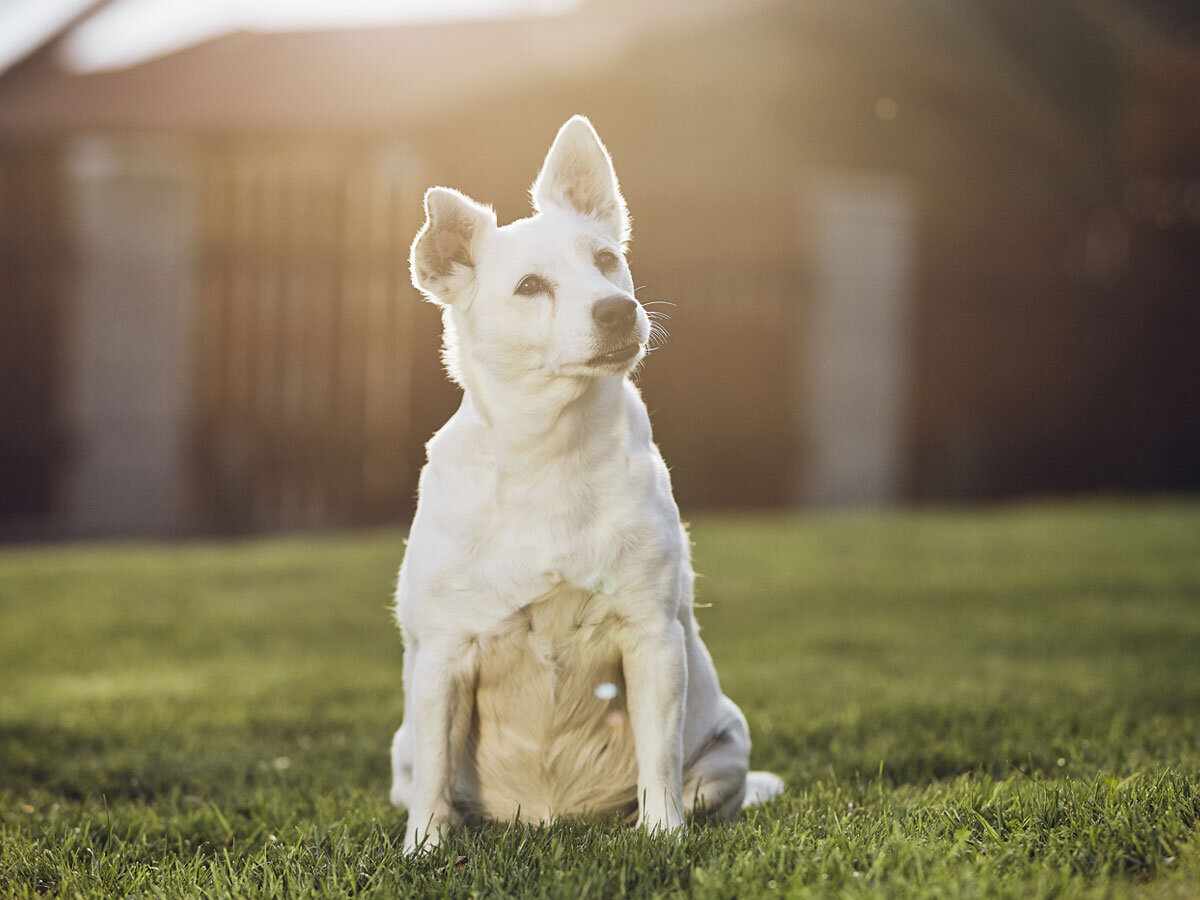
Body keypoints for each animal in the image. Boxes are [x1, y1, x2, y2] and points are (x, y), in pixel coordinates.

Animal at [388, 114, 782, 854]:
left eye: (605, 261)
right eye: (530, 287)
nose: (618, 310)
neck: (553, 452)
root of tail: (548, 817)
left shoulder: (651, 641)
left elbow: (657, 757)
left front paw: (662, 836)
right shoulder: (443, 660)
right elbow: (433, 776)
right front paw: (424, 849)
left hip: (727, 746)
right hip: (401, 746)